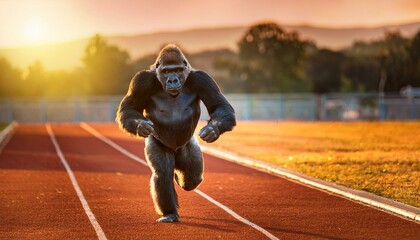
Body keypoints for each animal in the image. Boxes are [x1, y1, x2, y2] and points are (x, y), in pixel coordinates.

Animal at [115, 44, 236, 222]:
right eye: (166, 71)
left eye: (177, 70)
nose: (173, 80)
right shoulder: (141, 81)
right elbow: (129, 107)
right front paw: (141, 126)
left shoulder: (203, 79)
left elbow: (219, 105)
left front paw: (212, 130)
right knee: (164, 173)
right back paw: (170, 212)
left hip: (189, 150)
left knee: (192, 178)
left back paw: (180, 179)